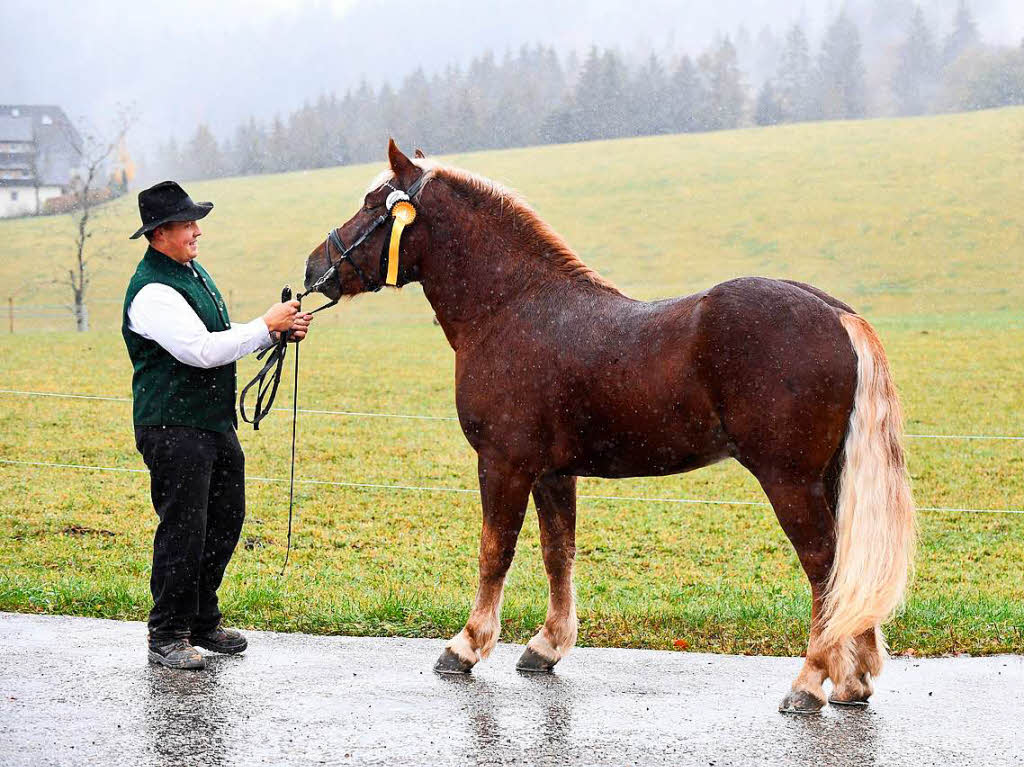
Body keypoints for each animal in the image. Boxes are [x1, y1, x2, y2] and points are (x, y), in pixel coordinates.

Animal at [299, 142, 917, 712]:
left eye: (373, 205)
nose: (312, 269)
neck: (513, 308)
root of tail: (837, 315)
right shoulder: (553, 472)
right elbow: (558, 552)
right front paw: (546, 646)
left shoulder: (503, 463)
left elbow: (495, 551)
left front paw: (466, 646)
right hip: (827, 479)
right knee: (845, 571)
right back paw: (853, 681)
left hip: (790, 481)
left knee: (824, 567)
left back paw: (810, 681)